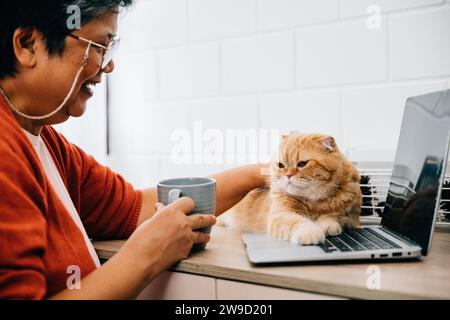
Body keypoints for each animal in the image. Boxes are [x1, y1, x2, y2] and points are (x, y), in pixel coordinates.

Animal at [218, 132, 362, 245]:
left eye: (302, 164)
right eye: (281, 165)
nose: (288, 175)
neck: (313, 203)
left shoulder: (351, 217)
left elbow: (335, 216)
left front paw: (327, 224)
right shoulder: (281, 214)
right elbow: (297, 221)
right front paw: (311, 231)